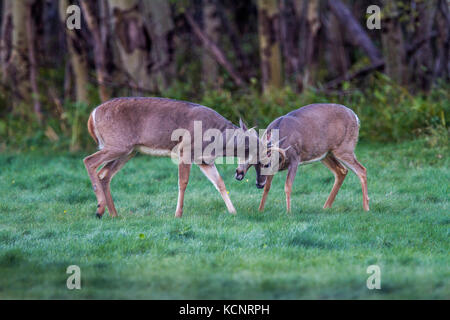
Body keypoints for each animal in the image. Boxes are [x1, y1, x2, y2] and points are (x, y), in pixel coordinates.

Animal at [82, 96, 255, 219]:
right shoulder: (185, 150)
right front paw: (178, 214)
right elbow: (183, 182)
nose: (240, 174)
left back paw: (113, 214)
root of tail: (92, 115)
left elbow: (219, 182)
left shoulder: (203, 160)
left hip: (128, 151)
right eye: (249, 151)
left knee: (104, 174)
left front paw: (233, 212)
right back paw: (100, 209)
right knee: (89, 161)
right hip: (118, 145)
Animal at [236, 103, 370, 212]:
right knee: (342, 171)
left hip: (344, 148)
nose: (258, 184)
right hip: (326, 154)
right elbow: (267, 188)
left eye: (267, 164)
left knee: (362, 170)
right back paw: (326, 207)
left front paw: (288, 212)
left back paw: (366, 208)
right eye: (254, 165)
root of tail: (355, 117)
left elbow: (288, 186)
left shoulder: (295, 159)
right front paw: (260, 210)